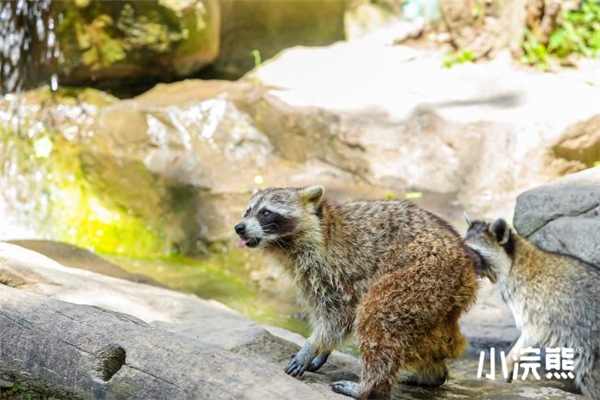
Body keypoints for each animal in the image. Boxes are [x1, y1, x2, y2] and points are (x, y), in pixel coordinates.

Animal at [233, 186, 478, 398]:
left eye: (265, 213)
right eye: (247, 211)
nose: (239, 227)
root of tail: (467, 266)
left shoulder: (336, 267)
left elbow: (342, 315)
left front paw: (313, 345)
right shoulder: (307, 274)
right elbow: (330, 315)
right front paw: (324, 349)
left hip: (422, 275)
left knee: (378, 318)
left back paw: (369, 388)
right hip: (438, 298)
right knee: (437, 337)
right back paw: (433, 374)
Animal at [464, 219, 600, 400]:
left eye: (472, 251)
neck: (514, 261)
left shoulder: (538, 307)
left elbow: (532, 335)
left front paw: (508, 364)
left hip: (592, 350)